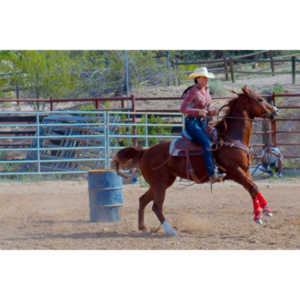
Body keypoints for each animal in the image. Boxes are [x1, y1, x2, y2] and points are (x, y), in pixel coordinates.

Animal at [113, 85, 278, 236]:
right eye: (260, 99)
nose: (275, 111)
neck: (231, 138)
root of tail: (145, 152)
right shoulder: (235, 171)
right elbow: (253, 187)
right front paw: (262, 214)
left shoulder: (245, 170)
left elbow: (253, 189)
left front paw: (262, 212)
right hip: (159, 183)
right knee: (156, 206)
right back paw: (170, 230)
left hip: (162, 182)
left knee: (143, 200)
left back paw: (143, 227)